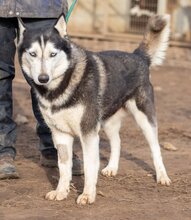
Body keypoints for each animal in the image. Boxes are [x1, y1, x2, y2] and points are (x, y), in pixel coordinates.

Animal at [17, 14, 171, 205]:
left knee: (155, 148)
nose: (43, 78)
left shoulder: (88, 133)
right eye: (33, 54)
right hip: (108, 122)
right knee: (117, 141)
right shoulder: (60, 134)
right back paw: (112, 167)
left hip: (144, 118)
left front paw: (88, 195)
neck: (60, 86)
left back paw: (162, 176)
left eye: (53, 54)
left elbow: (90, 167)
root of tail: (138, 56)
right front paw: (61, 191)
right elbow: (63, 167)